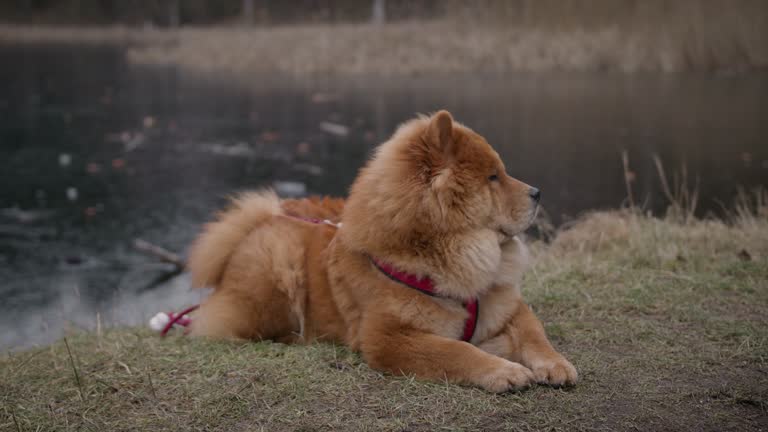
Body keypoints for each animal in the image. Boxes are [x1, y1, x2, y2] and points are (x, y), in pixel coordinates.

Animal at [189, 110, 580, 392]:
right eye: (493, 178)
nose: (537, 192)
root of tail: (258, 223)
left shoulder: (507, 306)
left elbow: (534, 333)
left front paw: (556, 364)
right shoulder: (388, 338)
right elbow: (457, 350)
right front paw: (504, 371)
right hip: (276, 276)